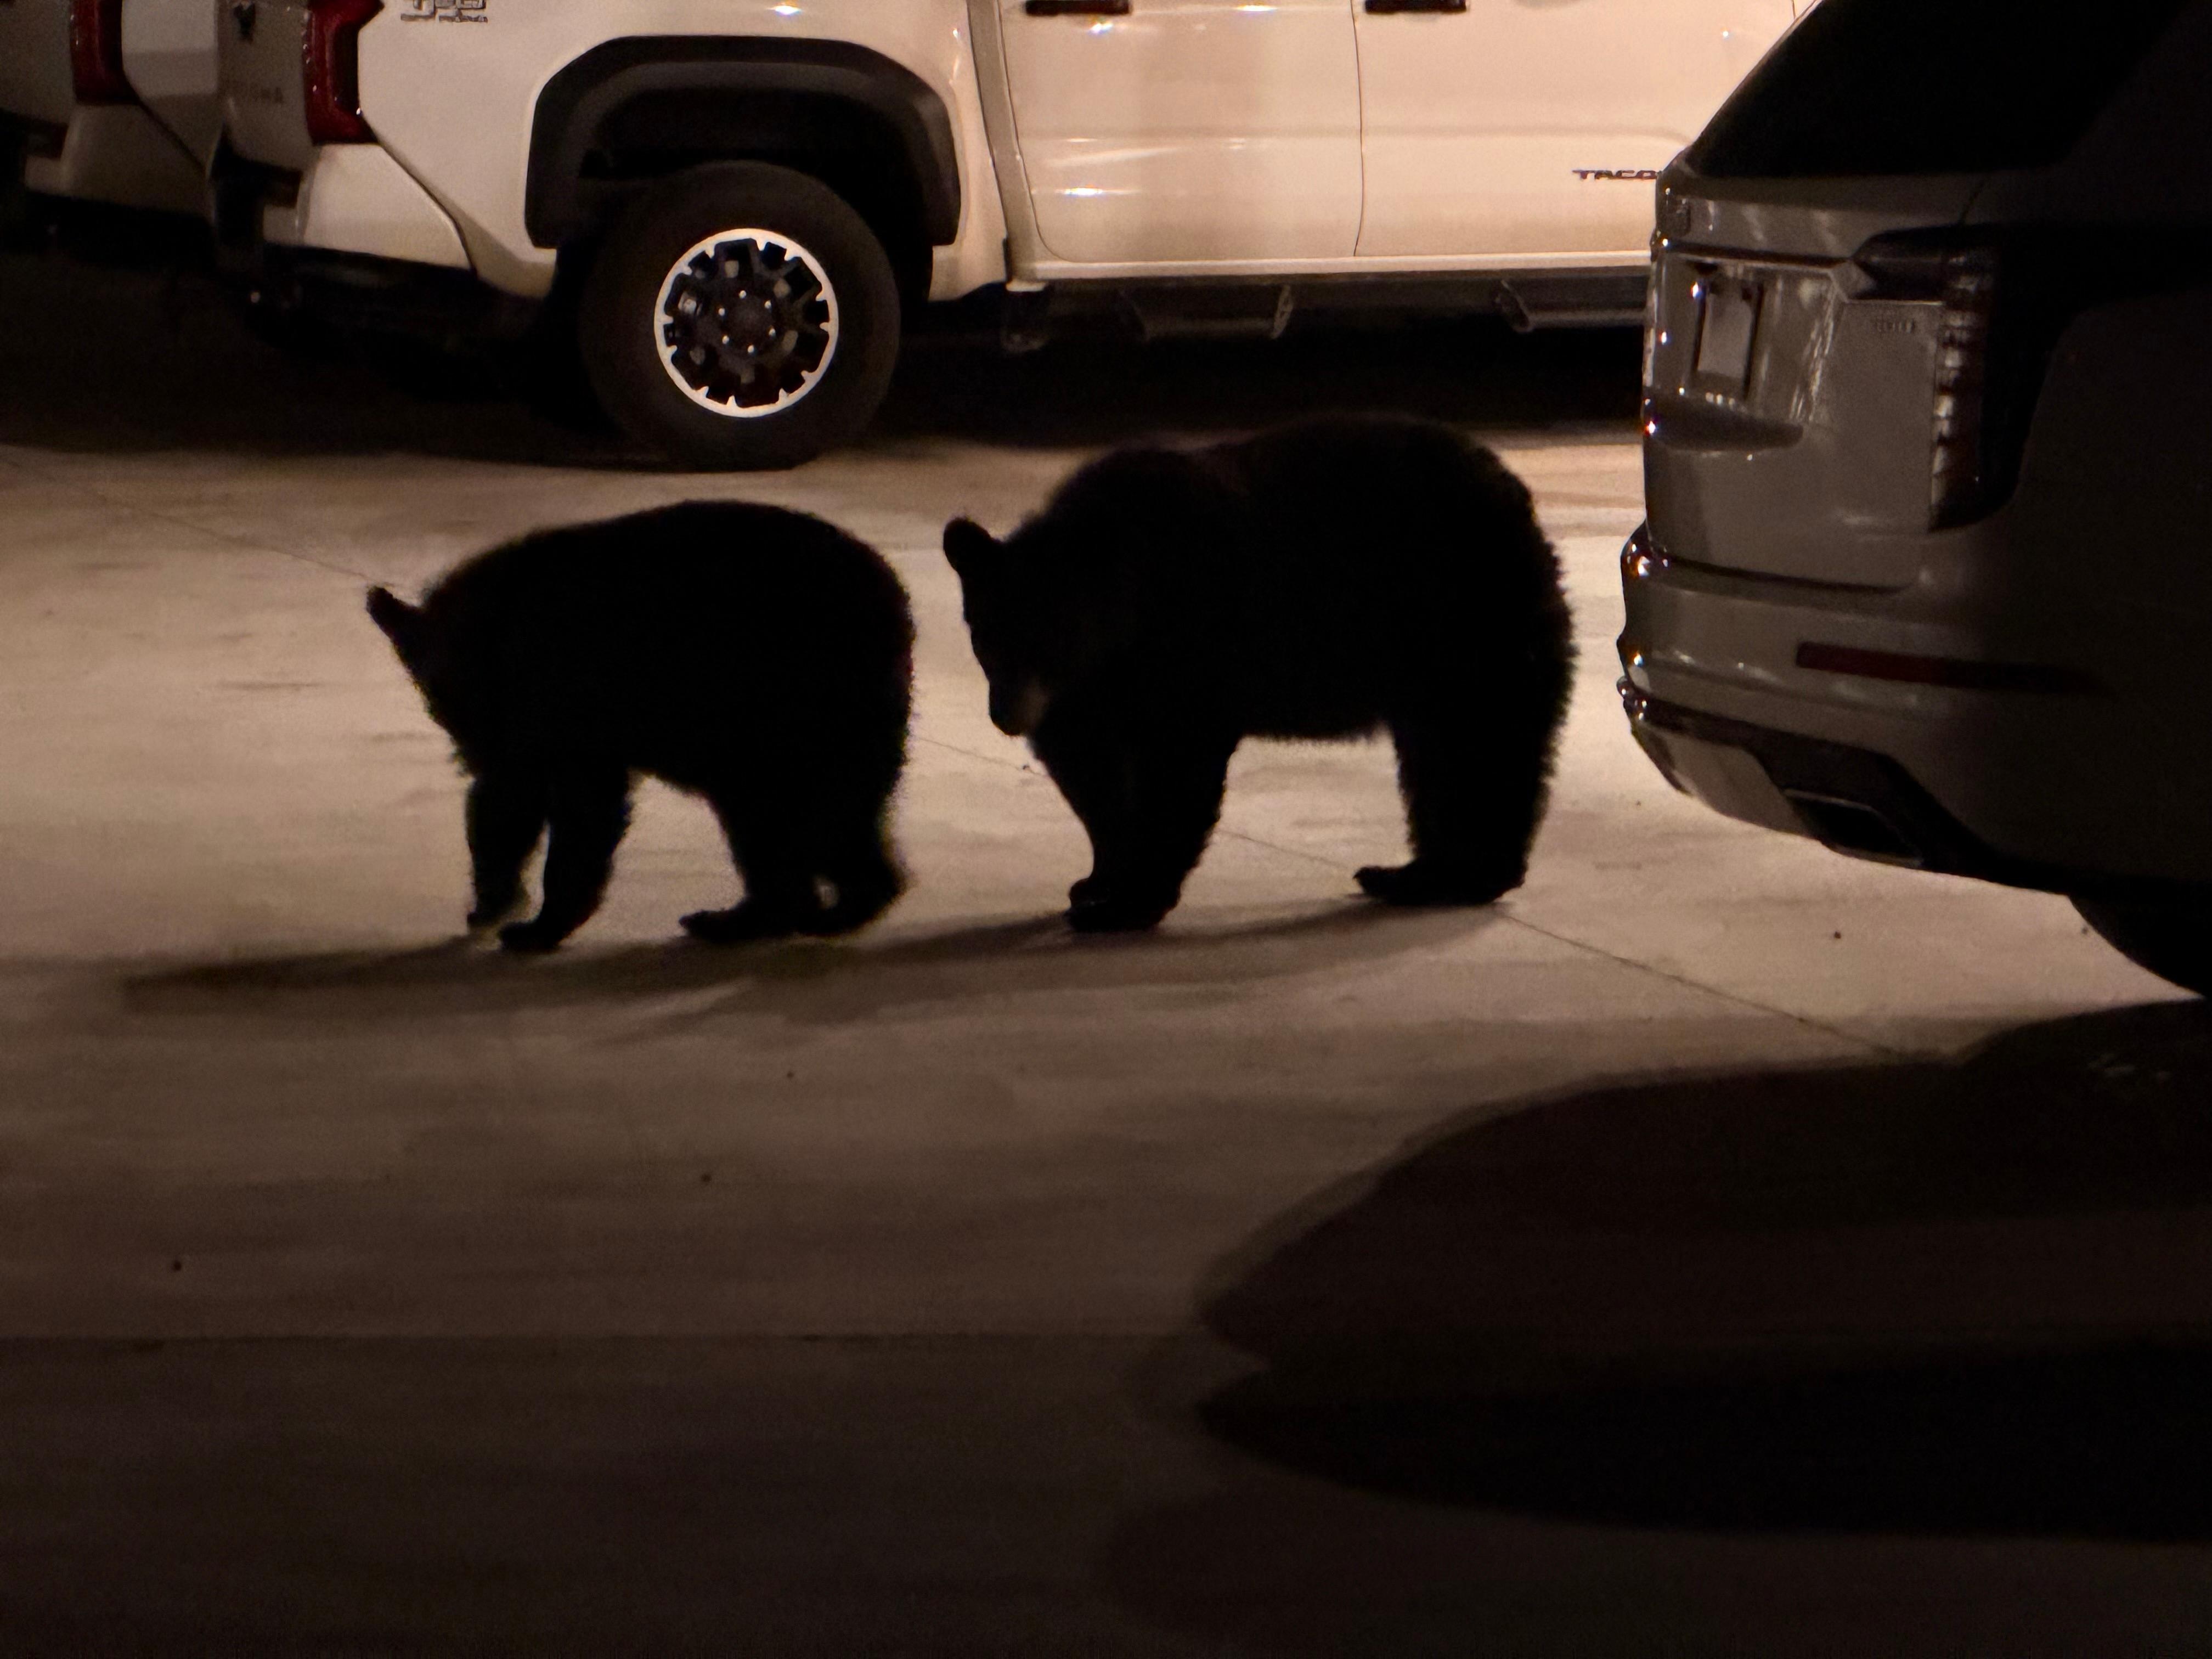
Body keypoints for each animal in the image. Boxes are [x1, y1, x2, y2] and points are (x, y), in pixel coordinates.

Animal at [368, 501, 913, 952]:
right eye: (435, 702)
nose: (468, 754)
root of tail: (897, 605)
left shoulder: (560, 693)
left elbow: (577, 804)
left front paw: (538, 922)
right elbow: (516, 801)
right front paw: (497, 900)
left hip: (797, 699)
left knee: (796, 810)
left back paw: (785, 912)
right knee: (826, 814)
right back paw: (800, 908)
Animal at [942, 415, 1574, 933]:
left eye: (1045, 638)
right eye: (986, 638)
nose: (1005, 715)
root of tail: (1514, 491)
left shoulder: (1184, 647)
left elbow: (1177, 769)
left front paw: (1129, 902)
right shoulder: (1087, 697)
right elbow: (1092, 777)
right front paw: (1100, 879)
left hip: (1471, 621)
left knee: (1488, 744)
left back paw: (1473, 872)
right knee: (1435, 763)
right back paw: (1414, 873)